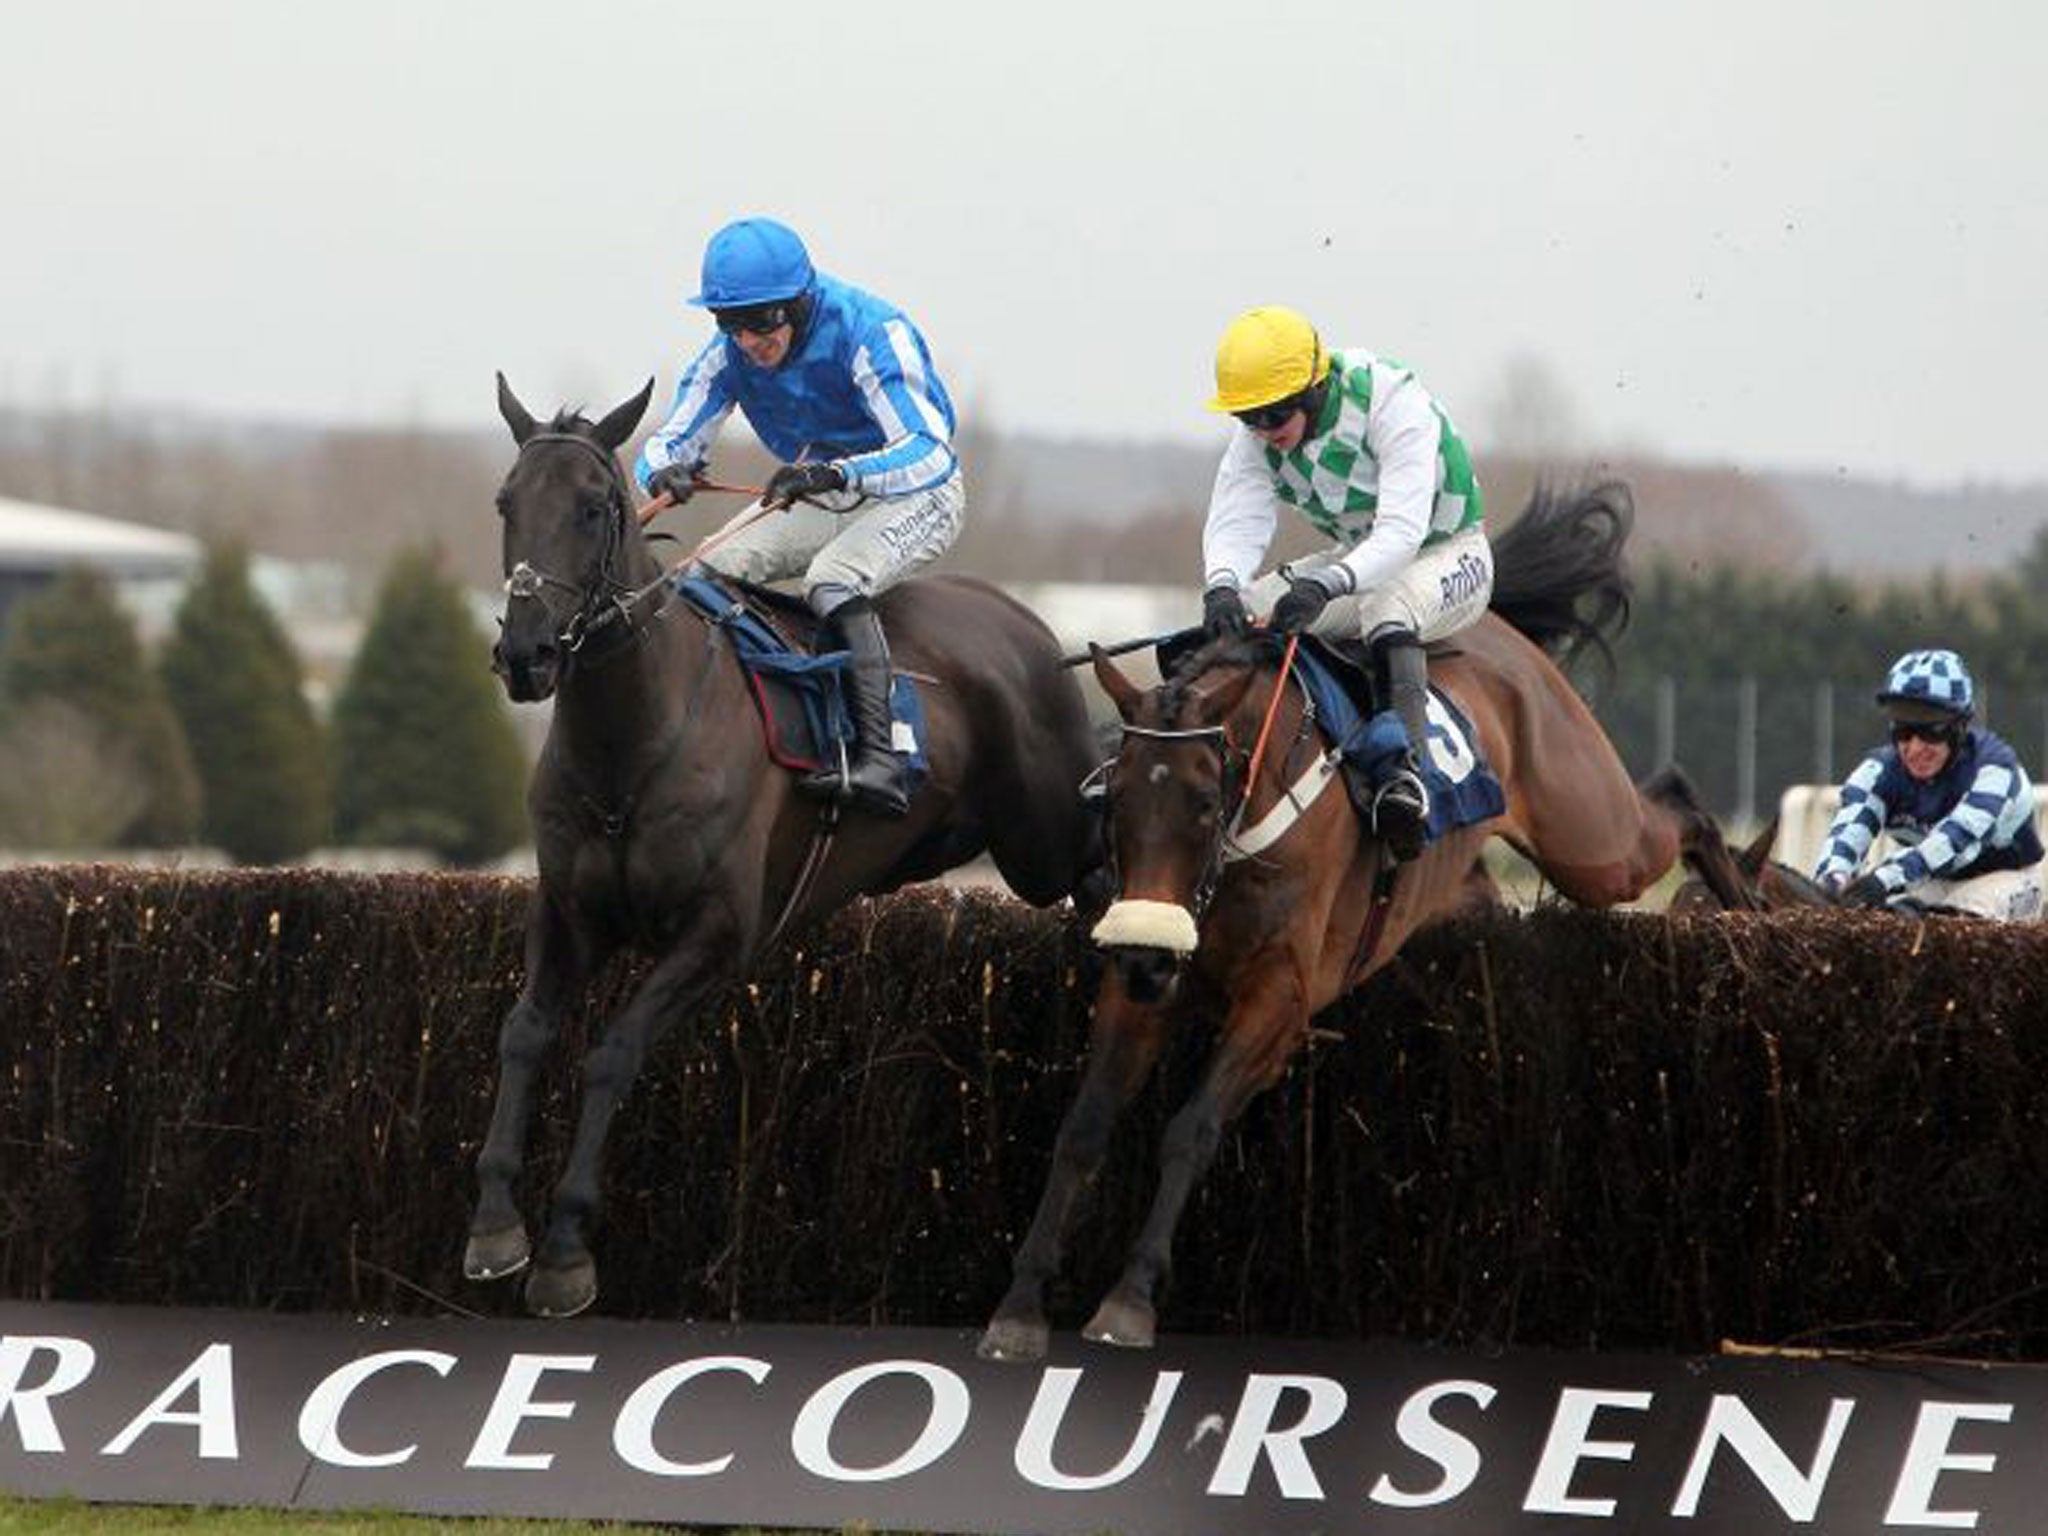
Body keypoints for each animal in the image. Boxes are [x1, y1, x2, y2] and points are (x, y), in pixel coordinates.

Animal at [468, 376, 1105, 1327]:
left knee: (1108, 866)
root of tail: (1027, 624)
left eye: (592, 507)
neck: (633, 745)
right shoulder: (568, 912)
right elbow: (524, 1033)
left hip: (1044, 842)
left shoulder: (719, 934)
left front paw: (566, 1252)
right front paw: (495, 1224)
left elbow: (612, 1051)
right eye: (507, 501)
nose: (526, 654)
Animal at [974, 481, 1744, 1359]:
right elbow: (1084, 1127)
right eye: (1115, 793)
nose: (1146, 957)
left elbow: (1191, 1128)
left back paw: (1749, 905)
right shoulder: (1142, 986)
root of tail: (1505, 634)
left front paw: (1129, 1300)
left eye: (1204, 801)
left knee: (1677, 802)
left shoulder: (1282, 995)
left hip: (1592, 835)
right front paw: (1020, 1306)